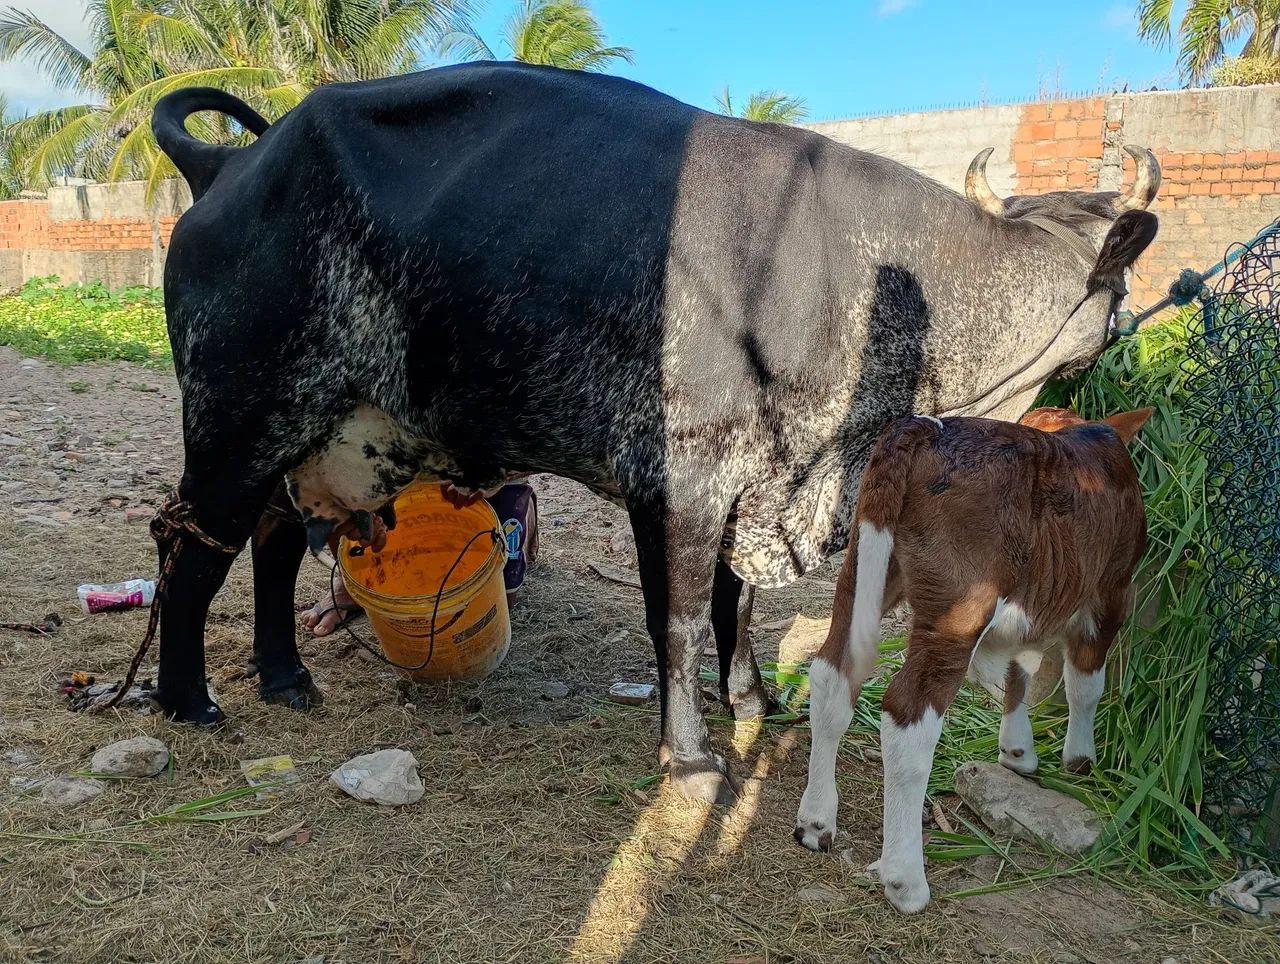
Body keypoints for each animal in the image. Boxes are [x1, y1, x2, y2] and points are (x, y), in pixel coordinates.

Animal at [148, 61, 1159, 805]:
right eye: (1116, 284)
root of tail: (229, 169)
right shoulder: (680, 479)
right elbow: (674, 618)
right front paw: (692, 755)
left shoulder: (755, 484)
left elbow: (734, 606)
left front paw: (750, 701)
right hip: (236, 423)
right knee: (189, 551)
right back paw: (188, 700)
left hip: (310, 439)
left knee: (273, 545)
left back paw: (285, 677)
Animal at [794, 405, 1153, 912]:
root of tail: (926, 427)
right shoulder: (1112, 592)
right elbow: (1085, 684)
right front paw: (1080, 758)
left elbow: (1020, 668)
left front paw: (1017, 750)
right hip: (960, 606)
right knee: (909, 713)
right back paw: (906, 881)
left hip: (863, 567)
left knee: (831, 674)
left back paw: (816, 822)